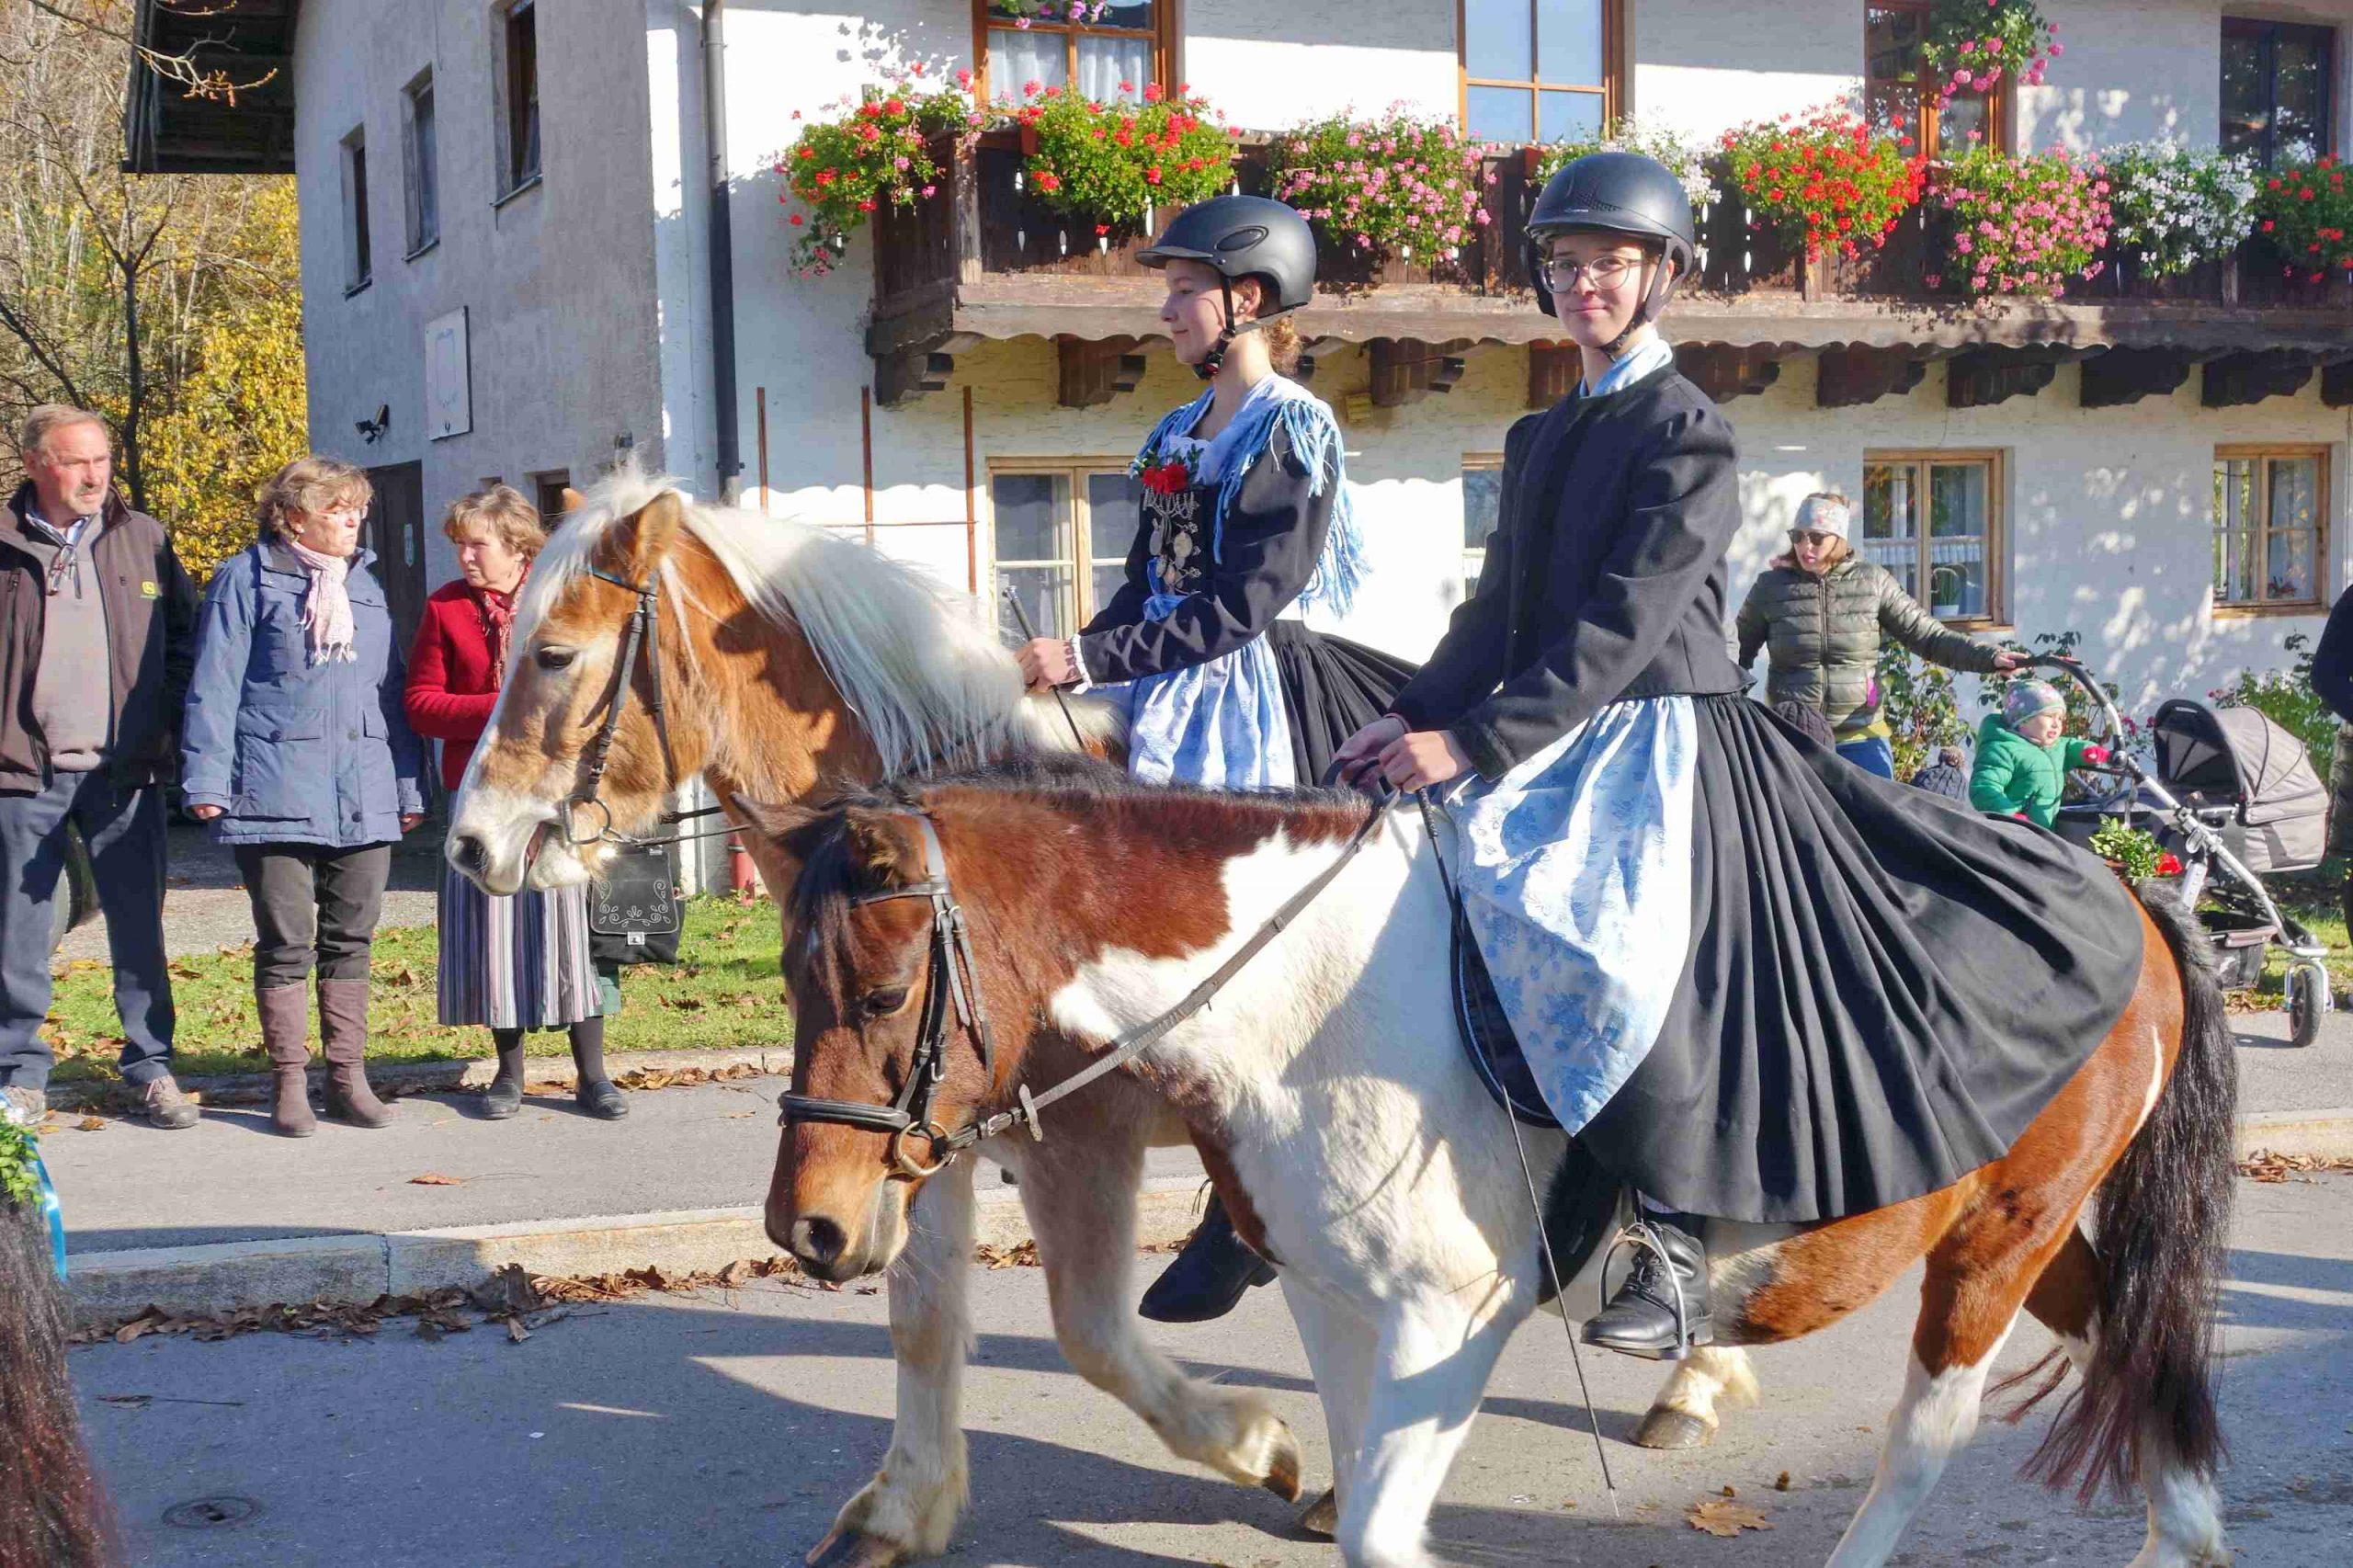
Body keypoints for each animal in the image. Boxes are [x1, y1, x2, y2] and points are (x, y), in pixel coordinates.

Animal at [443, 469, 1769, 1559]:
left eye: (553, 653)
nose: (468, 844)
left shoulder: (1077, 1136)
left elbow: (1085, 1327)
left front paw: (1258, 1442)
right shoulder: (925, 1121)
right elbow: (924, 1310)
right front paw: (903, 1505)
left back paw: (1687, 1366)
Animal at [751, 761, 2235, 1568]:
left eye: (881, 993)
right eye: (786, 981)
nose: (808, 1226)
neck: (1309, 999)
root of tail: (2124, 890)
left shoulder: (1445, 1317)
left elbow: (1376, 1524)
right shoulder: (1334, 1302)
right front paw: (1268, 1452)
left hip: (1999, 1233)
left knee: (1930, 1429)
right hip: (2026, 1229)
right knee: (2128, 1341)